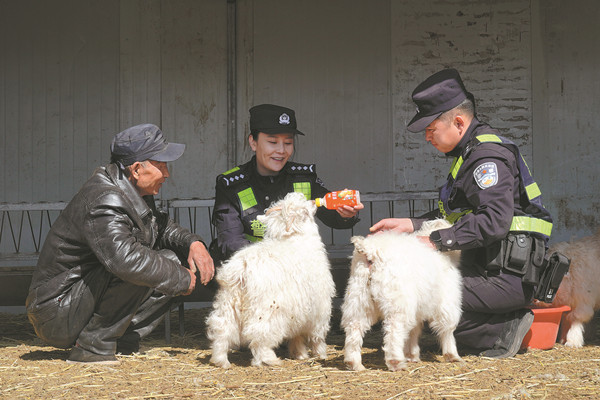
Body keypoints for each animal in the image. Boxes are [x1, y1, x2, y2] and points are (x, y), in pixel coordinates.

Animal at [206, 192, 336, 368]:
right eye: (304, 211)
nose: (313, 203)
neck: (296, 239)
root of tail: (242, 268)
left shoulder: (298, 309)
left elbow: (296, 335)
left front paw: (299, 353)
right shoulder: (318, 307)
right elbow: (317, 335)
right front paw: (320, 354)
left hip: (228, 303)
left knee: (221, 329)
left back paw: (221, 360)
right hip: (266, 310)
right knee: (259, 336)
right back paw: (269, 359)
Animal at [340, 219, 462, 372]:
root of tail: (370, 250)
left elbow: (414, 331)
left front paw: (411, 355)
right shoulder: (447, 301)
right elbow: (447, 329)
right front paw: (452, 355)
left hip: (358, 300)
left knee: (354, 328)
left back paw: (354, 363)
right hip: (396, 304)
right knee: (393, 331)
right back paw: (396, 362)